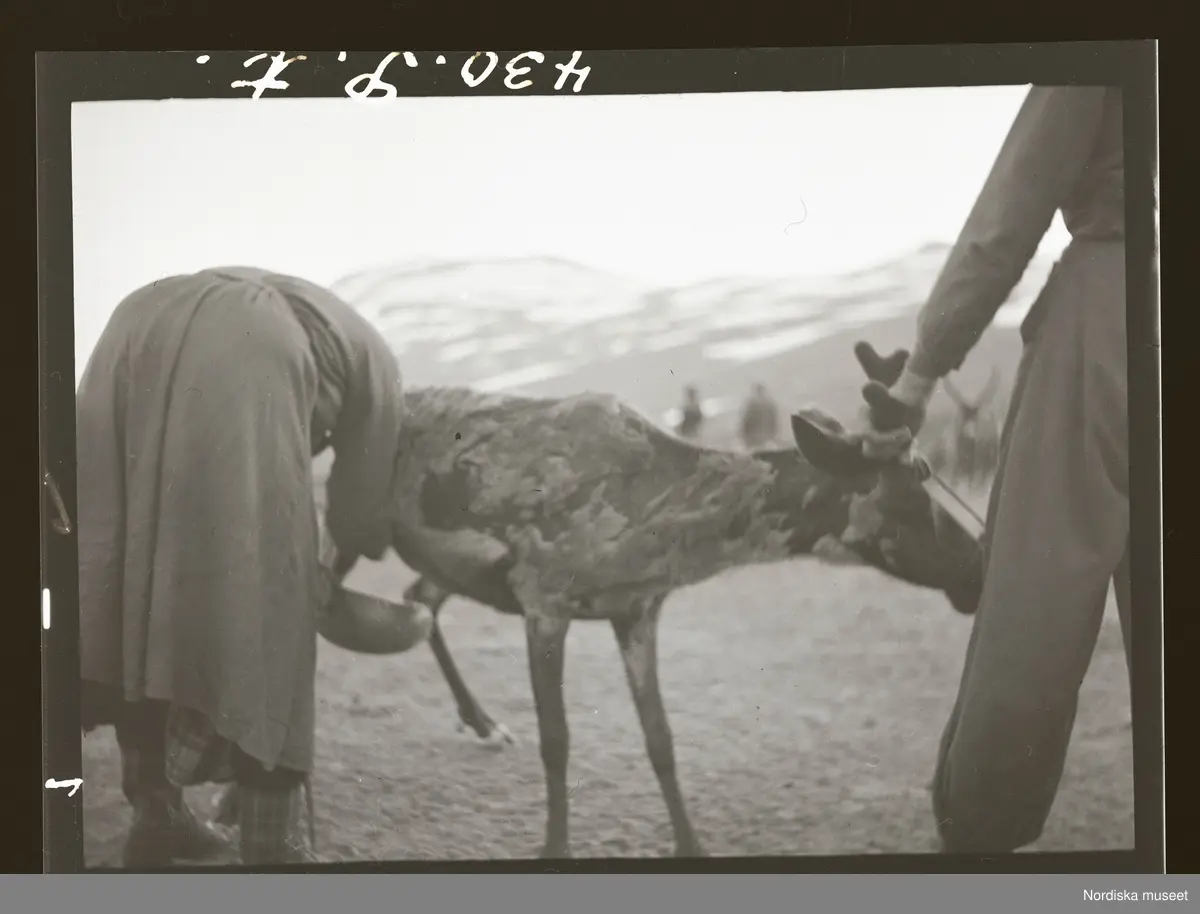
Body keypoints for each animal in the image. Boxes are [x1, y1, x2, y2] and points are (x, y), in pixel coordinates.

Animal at [244, 342, 984, 860]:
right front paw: (554, 846)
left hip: (440, 559)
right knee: (320, 602)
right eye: (910, 500)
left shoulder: (636, 611)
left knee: (417, 598)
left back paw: (480, 721)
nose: (978, 569)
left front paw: (691, 844)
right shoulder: (546, 600)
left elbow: (660, 740)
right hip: (346, 519)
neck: (663, 524)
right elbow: (558, 741)